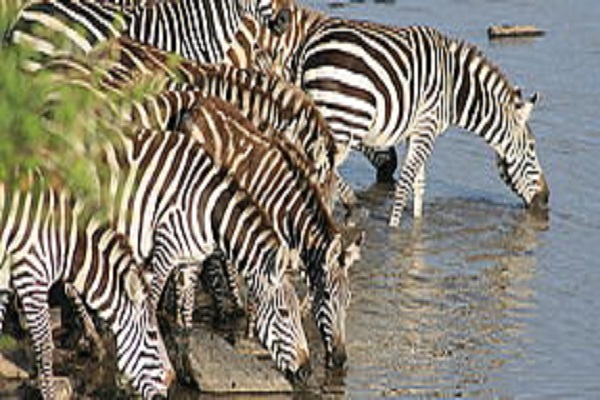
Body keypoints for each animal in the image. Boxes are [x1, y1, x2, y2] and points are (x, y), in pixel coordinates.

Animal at [0, 170, 175, 398]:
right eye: (152, 335)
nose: (170, 381)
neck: (65, 243)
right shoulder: (31, 277)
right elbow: (45, 345)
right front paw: (49, 394)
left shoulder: (6, 275)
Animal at [232, 5, 552, 225]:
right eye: (532, 150)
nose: (546, 202)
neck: (455, 90)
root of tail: (308, 47)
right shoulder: (427, 126)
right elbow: (406, 182)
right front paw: (395, 227)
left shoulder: (417, 130)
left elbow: (419, 183)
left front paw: (417, 227)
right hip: (342, 121)